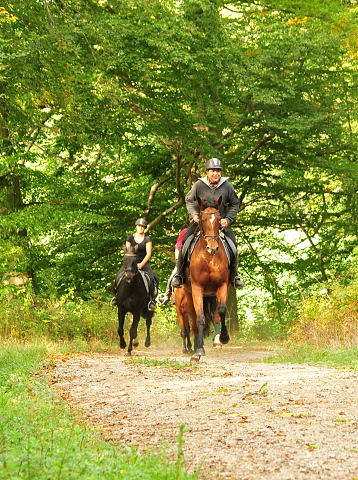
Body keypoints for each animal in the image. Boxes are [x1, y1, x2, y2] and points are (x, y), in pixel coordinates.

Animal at [183, 197, 231, 358]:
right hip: (188, 294)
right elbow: (200, 317)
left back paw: (217, 341)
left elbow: (221, 310)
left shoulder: (222, 285)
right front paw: (199, 349)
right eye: (203, 220)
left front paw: (224, 337)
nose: (213, 248)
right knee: (194, 320)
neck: (209, 257)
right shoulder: (197, 288)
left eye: (219, 219)